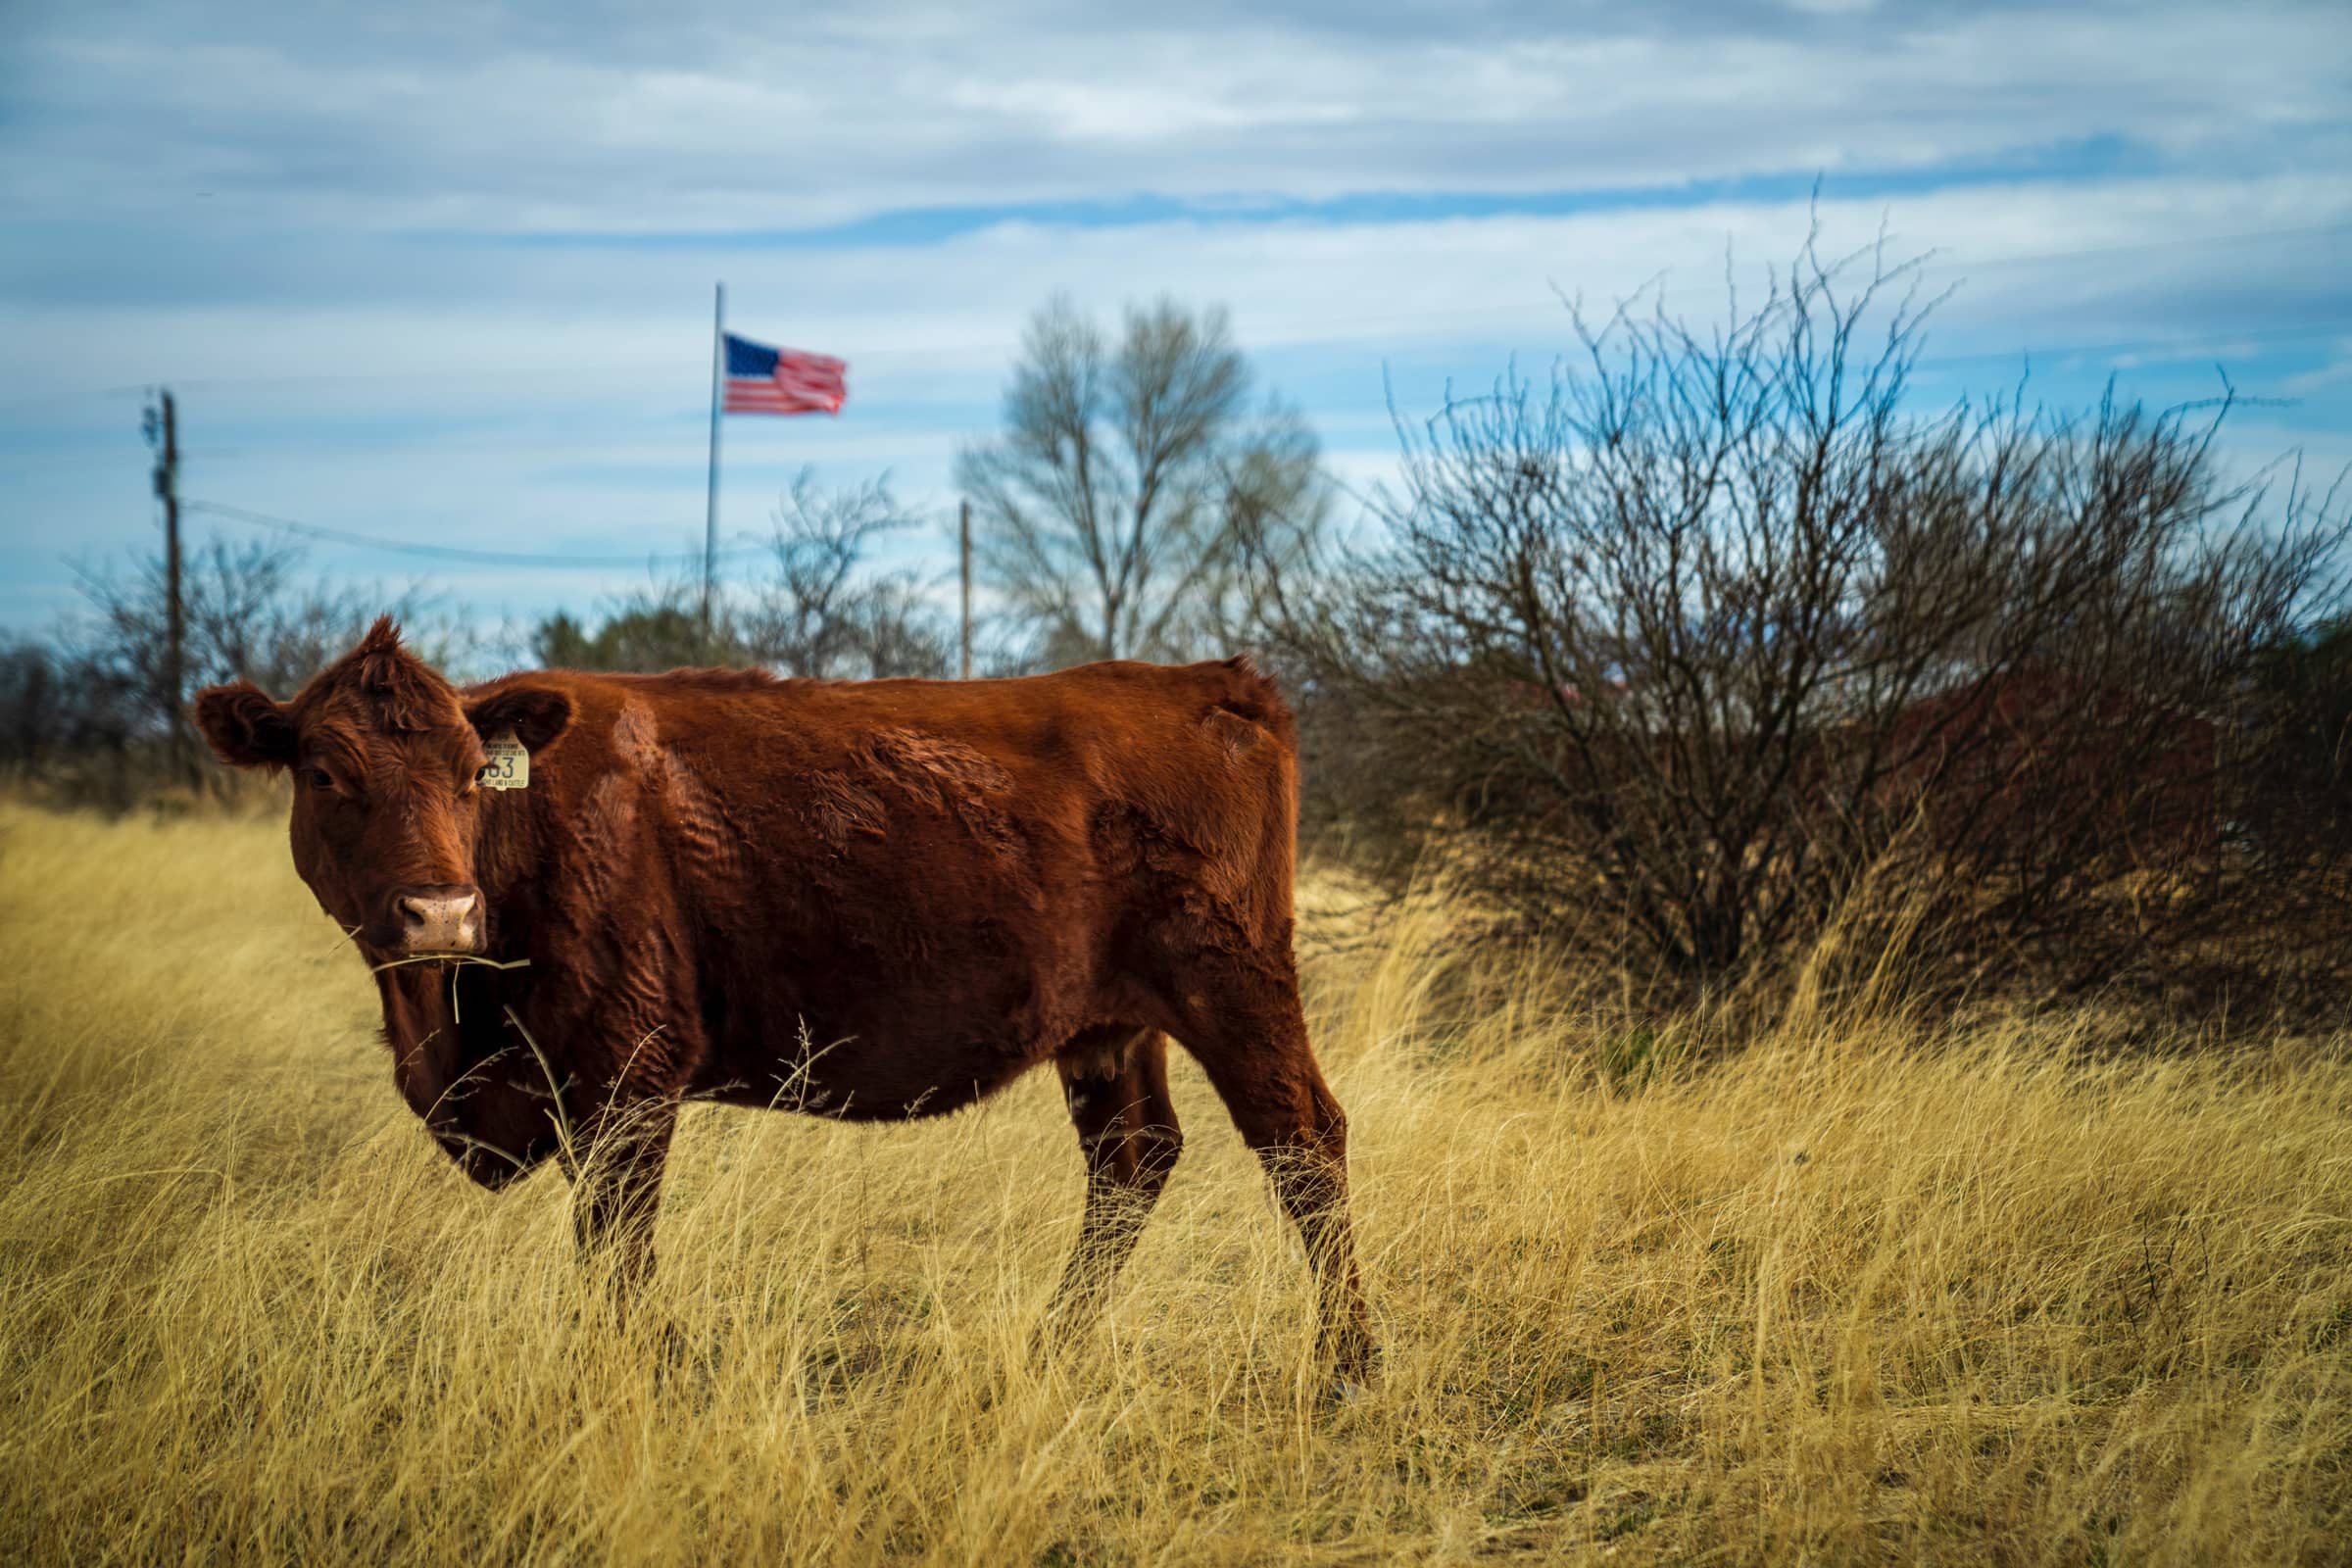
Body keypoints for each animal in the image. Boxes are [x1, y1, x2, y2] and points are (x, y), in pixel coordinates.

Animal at [202, 620, 1383, 1392]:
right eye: (322, 772)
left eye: (466, 772)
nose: (440, 912)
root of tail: (1213, 683)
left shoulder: (628, 1080)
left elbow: (617, 1243)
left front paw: (646, 1369)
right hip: (1108, 1028)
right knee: (1132, 1157)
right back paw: (1051, 1346)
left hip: (1234, 986)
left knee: (1301, 1140)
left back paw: (1351, 1365)